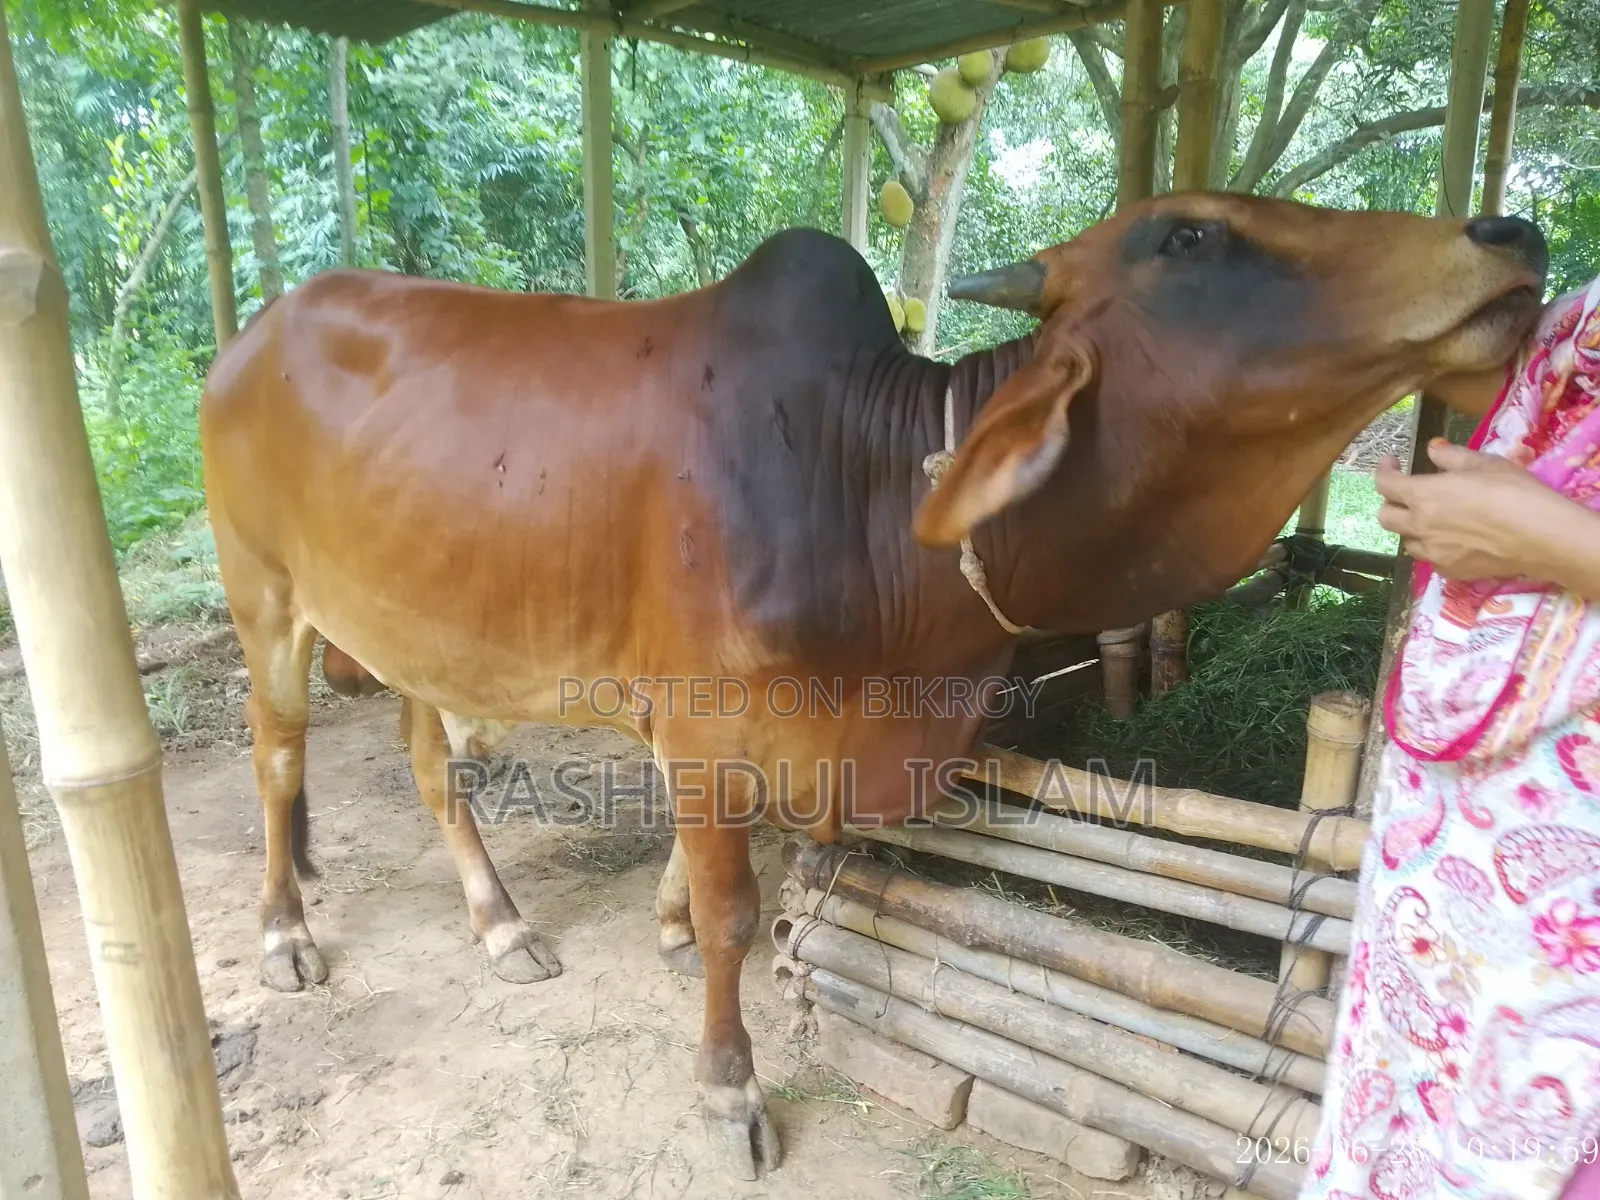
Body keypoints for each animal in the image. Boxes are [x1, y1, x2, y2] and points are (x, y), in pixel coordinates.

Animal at [200, 192, 1546, 1178]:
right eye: (1189, 236)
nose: (1508, 232)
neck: (868, 490)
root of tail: (253, 332)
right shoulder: (709, 735)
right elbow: (735, 915)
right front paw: (730, 1087)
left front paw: (663, 927)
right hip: (266, 603)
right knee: (276, 761)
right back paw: (284, 935)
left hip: (411, 627)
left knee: (434, 770)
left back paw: (499, 924)